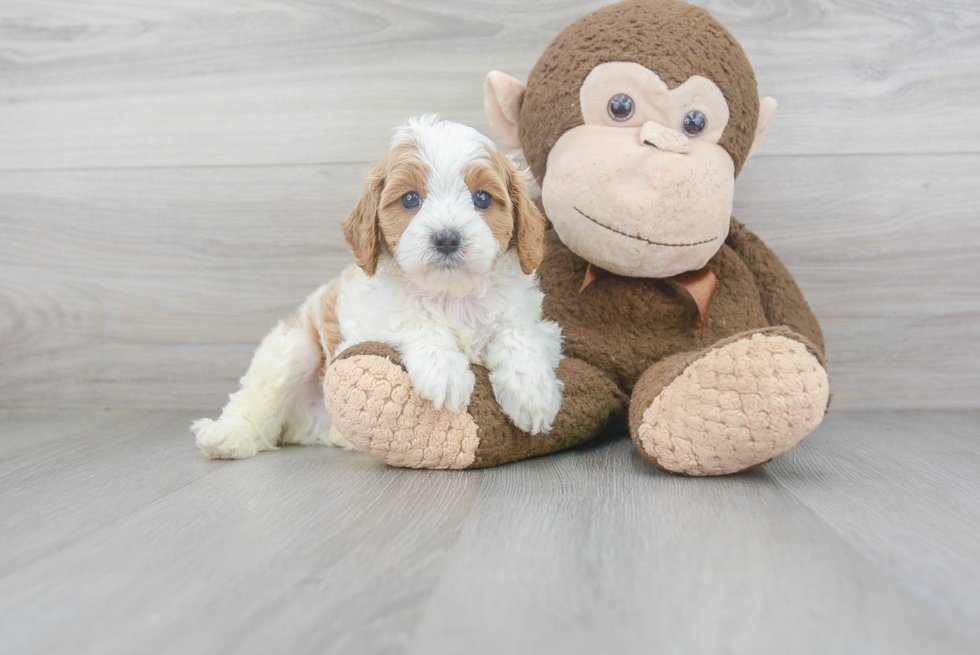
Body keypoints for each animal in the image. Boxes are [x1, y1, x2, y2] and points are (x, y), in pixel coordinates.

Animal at [195, 115, 564, 458]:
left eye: (483, 198)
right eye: (411, 199)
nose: (447, 238)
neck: (450, 294)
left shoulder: (537, 324)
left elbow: (517, 334)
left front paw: (532, 393)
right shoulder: (365, 326)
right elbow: (414, 321)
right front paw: (443, 370)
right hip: (293, 348)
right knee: (257, 401)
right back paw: (227, 436)